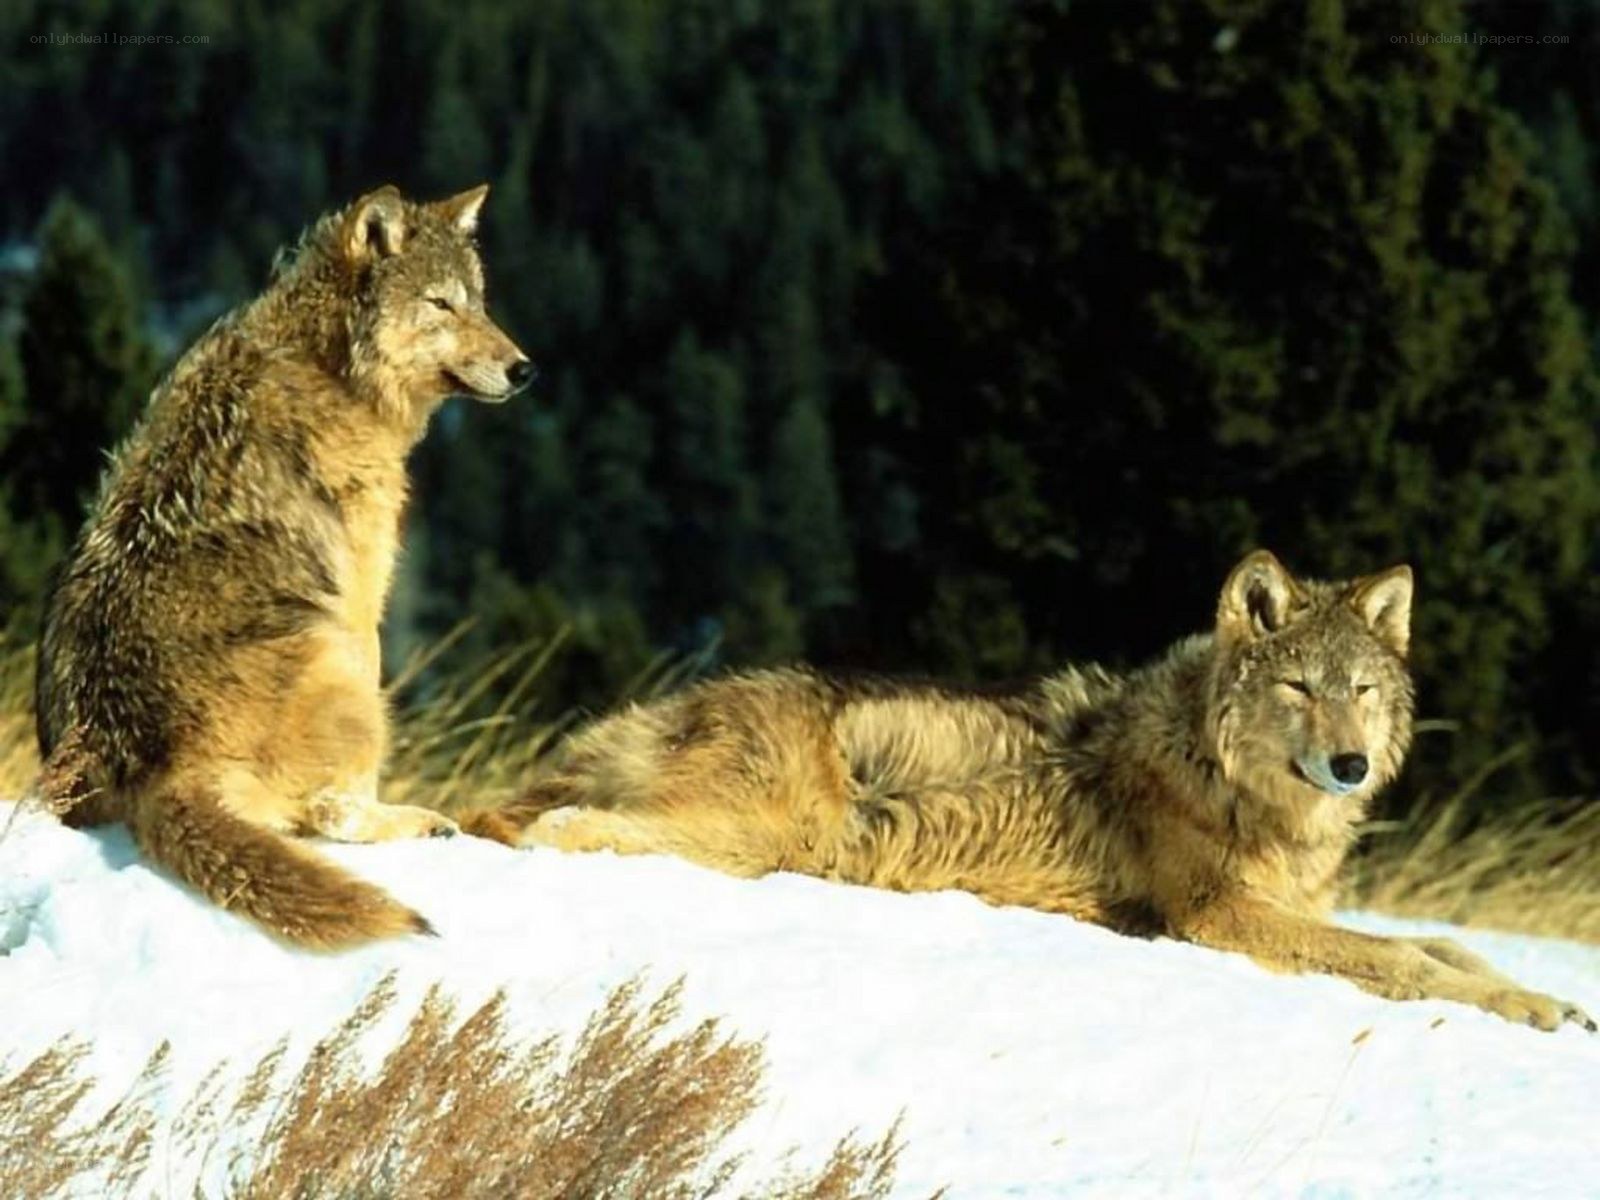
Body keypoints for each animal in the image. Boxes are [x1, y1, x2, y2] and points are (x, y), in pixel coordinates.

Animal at [35, 183, 533, 949]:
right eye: (440, 304)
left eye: (477, 302)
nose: (523, 368)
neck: (328, 366)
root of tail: (155, 771)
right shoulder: (361, 598)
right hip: (340, 665)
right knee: (330, 816)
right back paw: (423, 821)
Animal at [465, 550, 1592, 1031]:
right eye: (1297, 688)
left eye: (1359, 691)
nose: (1350, 765)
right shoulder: (1218, 916)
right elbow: (1400, 959)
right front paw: (1523, 1010)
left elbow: (1444, 946)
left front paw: (1544, 997)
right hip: (775, 836)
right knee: (559, 827)